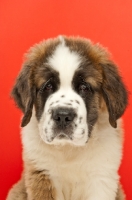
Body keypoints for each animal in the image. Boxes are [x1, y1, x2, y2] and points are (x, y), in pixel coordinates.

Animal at [6, 36, 128, 200]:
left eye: (84, 87)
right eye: (48, 86)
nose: (63, 116)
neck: (69, 149)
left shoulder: (101, 178)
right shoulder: (43, 175)